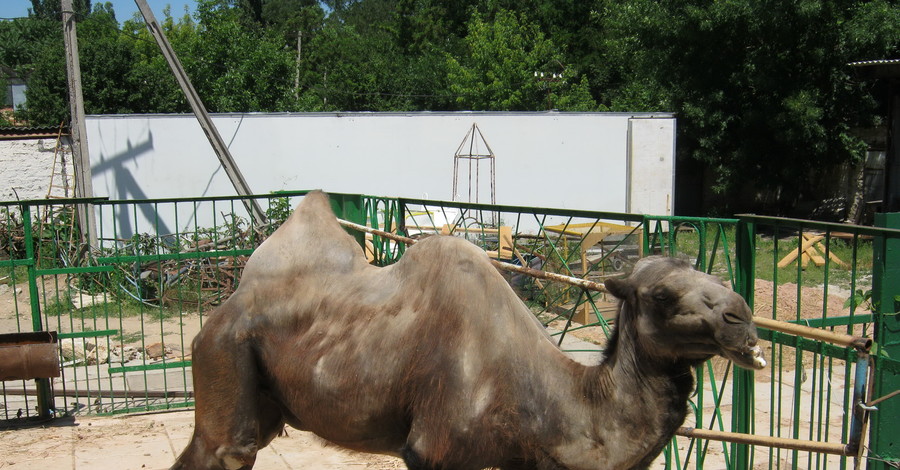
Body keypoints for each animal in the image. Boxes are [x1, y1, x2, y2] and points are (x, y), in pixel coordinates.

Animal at [172, 191, 764, 470]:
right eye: (662, 296)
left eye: (707, 270)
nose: (742, 318)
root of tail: (228, 302)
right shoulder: (432, 451)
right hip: (226, 354)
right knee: (225, 450)